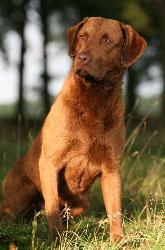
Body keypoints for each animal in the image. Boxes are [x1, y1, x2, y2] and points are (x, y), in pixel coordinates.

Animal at [0, 17, 147, 242]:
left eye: (107, 41)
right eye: (82, 36)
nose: (82, 58)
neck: (94, 101)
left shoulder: (111, 168)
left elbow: (115, 210)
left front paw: (119, 240)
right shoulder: (50, 162)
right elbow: (52, 206)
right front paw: (56, 240)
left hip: (83, 200)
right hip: (20, 197)